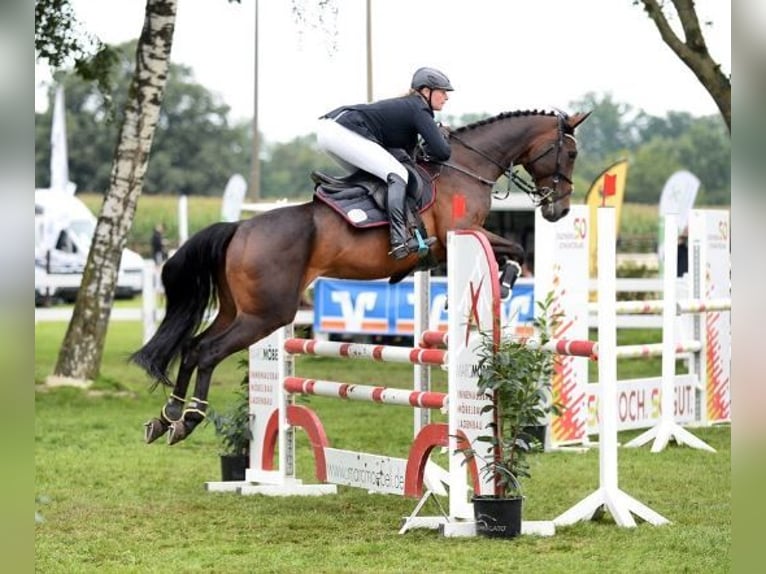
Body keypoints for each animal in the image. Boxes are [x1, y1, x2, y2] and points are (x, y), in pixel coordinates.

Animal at [132, 110, 592, 448]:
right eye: (569, 154)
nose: (559, 211)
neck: (466, 167)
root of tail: (239, 227)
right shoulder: (457, 236)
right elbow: (513, 251)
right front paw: (507, 283)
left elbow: (511, 251)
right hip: (267, 314)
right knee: (207, 352)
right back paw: (188, 419)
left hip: (237, 310)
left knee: (192, 347)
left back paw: (167, 418)